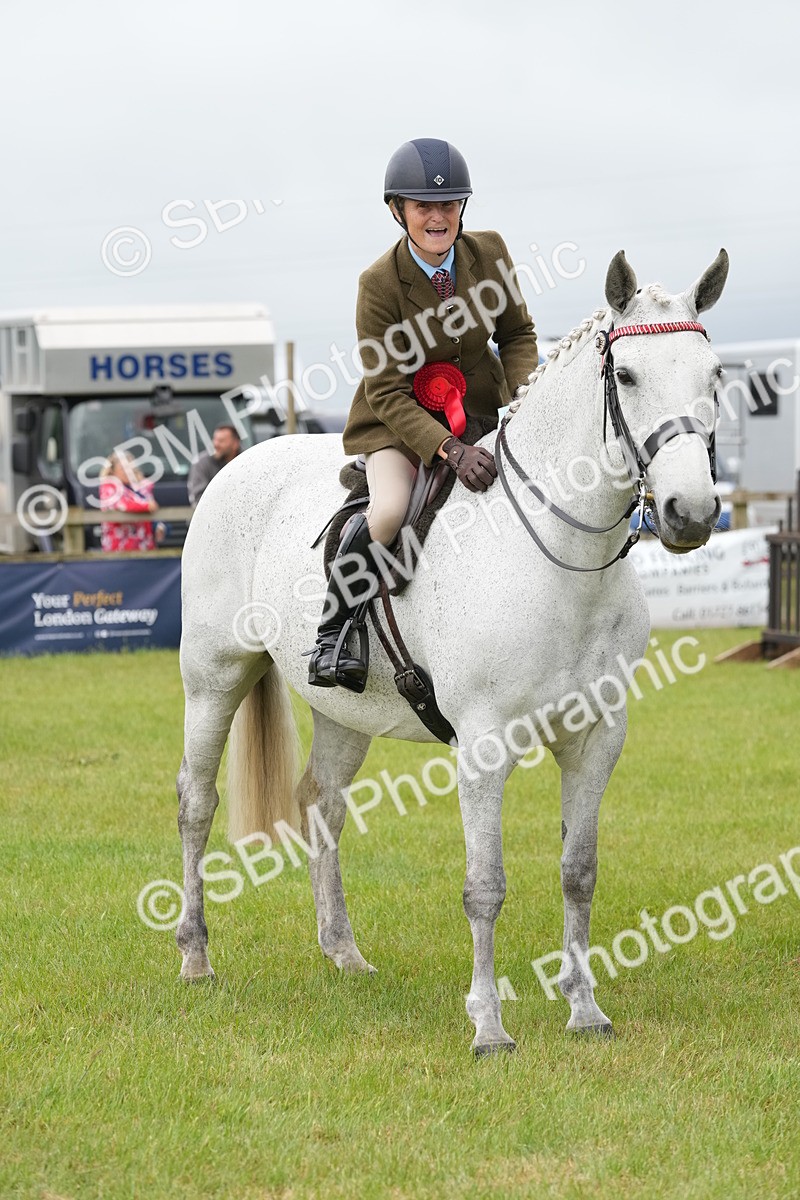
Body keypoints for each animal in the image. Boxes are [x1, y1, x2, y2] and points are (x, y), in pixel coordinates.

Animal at [175, 248, 729, 1054]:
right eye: (625, 377)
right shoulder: (485, 745)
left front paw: (584, 1010)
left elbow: (579, 871)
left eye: (714, 374)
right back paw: (195, 957)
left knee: (322, 803)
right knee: (197, 802)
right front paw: (489, 1026)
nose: (691, 513)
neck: (561, 557)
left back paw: (343, 952)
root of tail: (240, 462)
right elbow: (485, 886)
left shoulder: (598, 737)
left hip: (344, 709)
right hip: (214, 678)